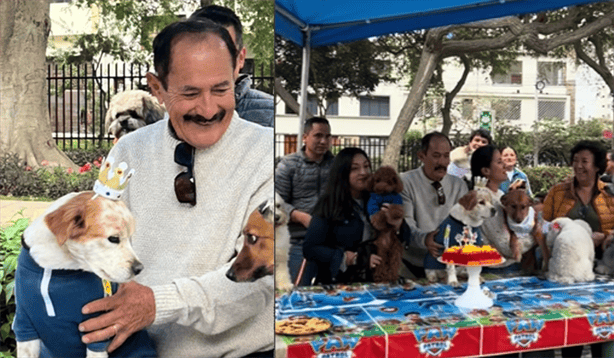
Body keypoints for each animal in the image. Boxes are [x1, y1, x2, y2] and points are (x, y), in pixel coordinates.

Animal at [14, 157, 155, 358]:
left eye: (130, 238)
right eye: (113, 238)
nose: (139, 268)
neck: (56, 266)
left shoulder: (96, 333)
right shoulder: (24, 326)